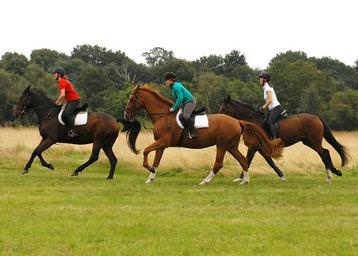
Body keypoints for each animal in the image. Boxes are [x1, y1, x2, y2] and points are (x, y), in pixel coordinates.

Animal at [121, 85, 284, 184]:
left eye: (132, 99)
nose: (126, 115)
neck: (163, 115)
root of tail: (238, 121)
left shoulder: (164, 142)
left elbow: (146, 151)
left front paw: (149, 169)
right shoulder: (161, 144)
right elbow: (156, 160)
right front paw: (151, 177)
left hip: (222, 145)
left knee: (219, 164)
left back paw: (205, 181)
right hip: (231, 146)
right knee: (243, 160)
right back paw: (245, 181)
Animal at [218, 95, 350, 182]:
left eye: (224, 109)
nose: (218, 118)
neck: (252, 122)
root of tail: (317, 117)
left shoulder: (253, 147)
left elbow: (247, 160)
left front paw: (241, 178)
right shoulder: (259, 148)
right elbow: (268, 161)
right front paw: (281, 175)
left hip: (314, 141)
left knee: (324, 153)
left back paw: (333, 173)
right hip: (308, 142)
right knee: (324, 153)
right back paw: (331, 174)